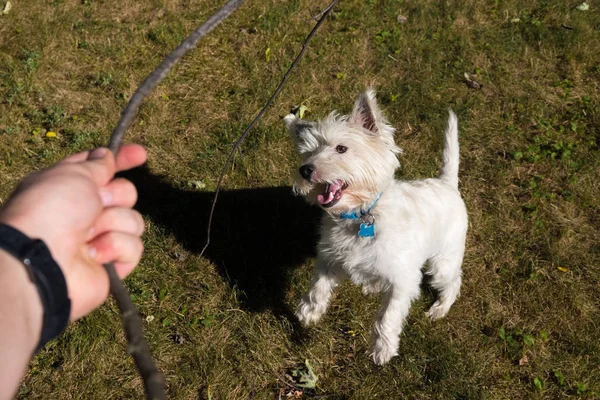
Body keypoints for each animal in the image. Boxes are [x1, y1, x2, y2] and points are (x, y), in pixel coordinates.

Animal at [284, 90, 466, 366]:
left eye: (341, 148)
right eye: (307, 153)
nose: (305, 170)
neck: (361, 215)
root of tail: (447, 184)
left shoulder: (404, 279)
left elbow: (388, 316)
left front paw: (383, 349)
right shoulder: (330, 258)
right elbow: (318, 287)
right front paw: (309, 312)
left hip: (442, 261)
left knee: (453, 283)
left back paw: (439, 309)